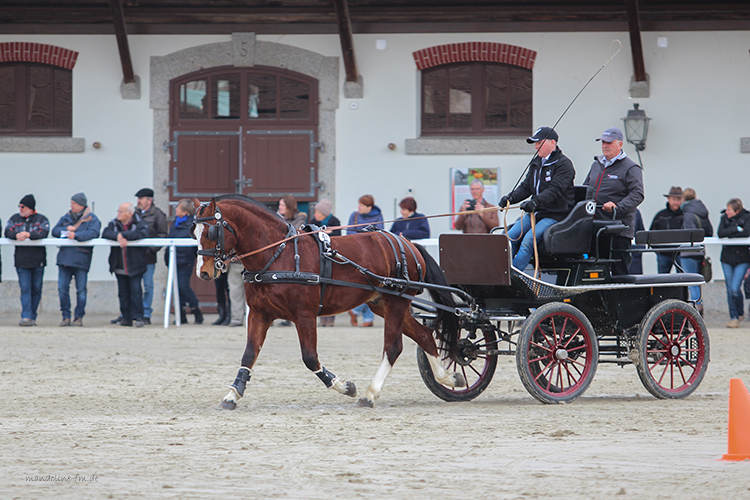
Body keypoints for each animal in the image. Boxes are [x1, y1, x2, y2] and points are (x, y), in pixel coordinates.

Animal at [191, 194, 465, 409]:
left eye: (212, 231)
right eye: (194, 232)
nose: (203, 272)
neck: (279, 255)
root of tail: (407, 243)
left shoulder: (304, 314)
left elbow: (310, 357)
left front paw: (344, 386)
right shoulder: (260, 313)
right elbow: (249, 354)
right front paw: (232, 394)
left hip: (396, 302)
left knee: (393, 347)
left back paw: (370, 394)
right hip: (383, 304)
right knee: (424, 335)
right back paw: (448, 379)